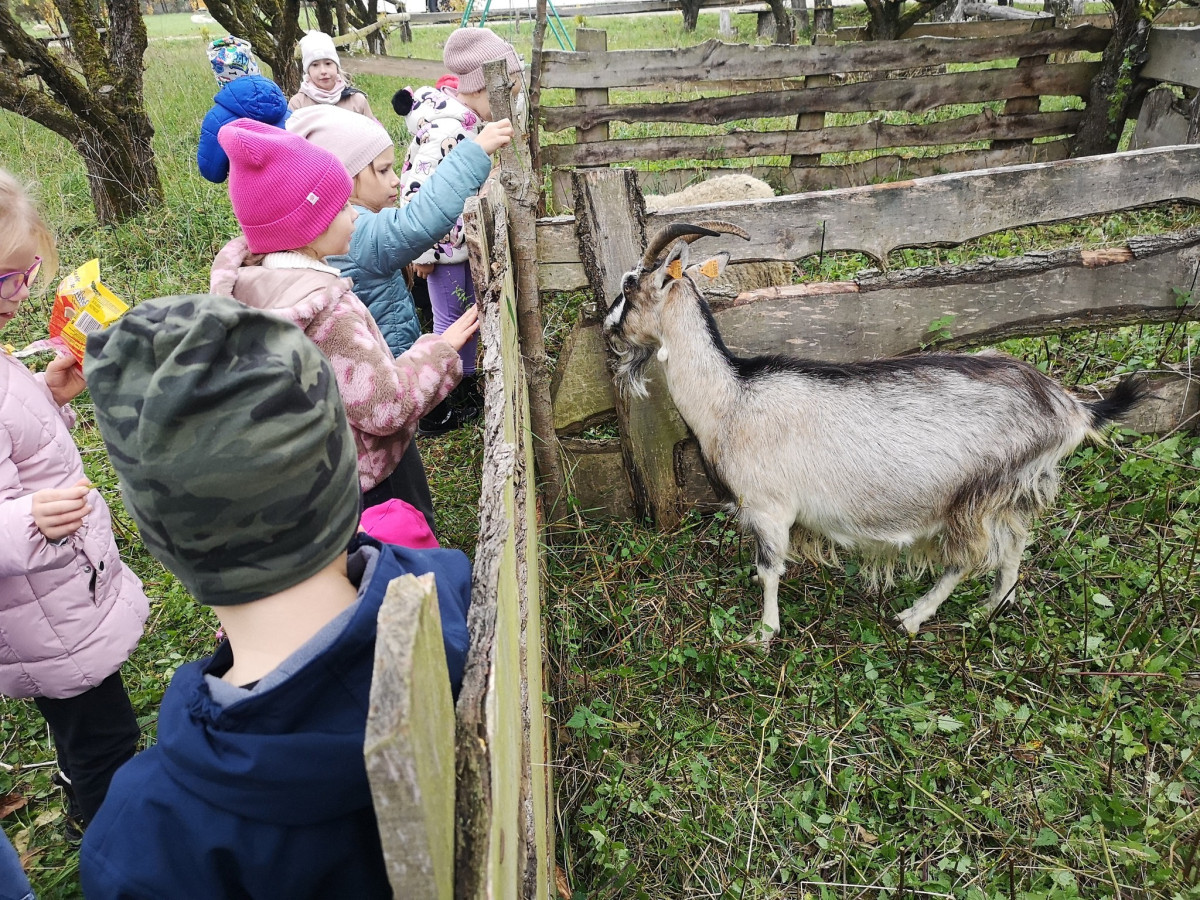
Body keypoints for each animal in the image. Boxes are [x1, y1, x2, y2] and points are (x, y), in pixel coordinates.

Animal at [604, 221, 1148, 643]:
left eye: (629, 287)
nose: (606, 328)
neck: (733, 398)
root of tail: (1069, 407)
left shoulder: (769, 507)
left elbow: (768, 571)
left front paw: (763, 633)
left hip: (975, 494)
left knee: (967, 558)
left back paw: (913, 617)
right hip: (1011, 491)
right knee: (1013, 546)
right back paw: (990, 609)